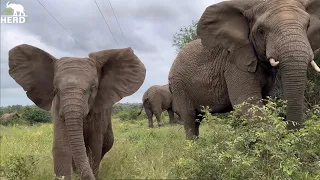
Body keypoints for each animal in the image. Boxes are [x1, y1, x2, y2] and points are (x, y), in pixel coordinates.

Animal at [8, 44, 146, 180]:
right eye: (56, 89)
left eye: (93, 88)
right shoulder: (57, 108)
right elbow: (62, 146)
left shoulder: (98, 114)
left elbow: (94, 147)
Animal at [169, 0, 318, 141]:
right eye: (261, 30)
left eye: (308, 25)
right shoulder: (234, 63)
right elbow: (246, 104)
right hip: (178, 85)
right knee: (189, 117)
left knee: (197, 119)